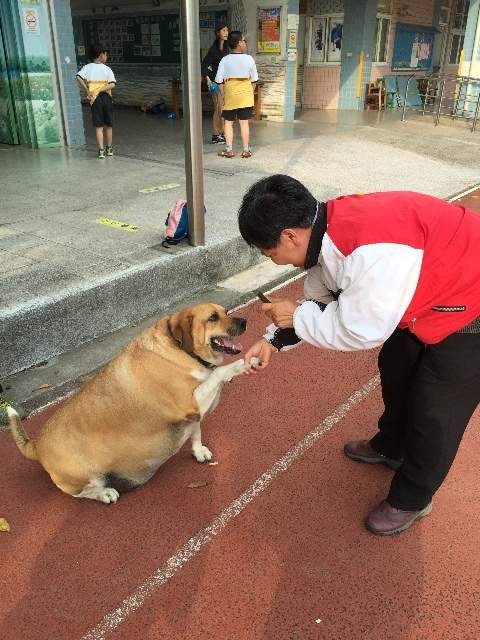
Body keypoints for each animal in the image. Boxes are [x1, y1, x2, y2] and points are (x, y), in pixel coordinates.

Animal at [7, 304, 256, 504]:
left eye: (225, 311)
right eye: (213, 317)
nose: (244, 322)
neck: (180, 350)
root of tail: (36, 445)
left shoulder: (193, 414)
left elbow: (196, 430)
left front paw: (199, 451)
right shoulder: (190, 404)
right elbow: (218, 373)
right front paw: (242, 365)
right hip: (83, 477)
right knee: (83, 493)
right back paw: (105, 493)